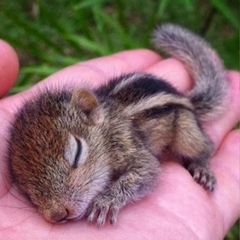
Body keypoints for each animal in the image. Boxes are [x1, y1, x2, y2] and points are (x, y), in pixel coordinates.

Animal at [8, 23, 228, 227]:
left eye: (77, 153)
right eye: (24, 187)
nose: (58, 214)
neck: (106, 128)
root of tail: (185, 98)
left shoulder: (127, 144)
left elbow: (147, 171)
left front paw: (106, 201)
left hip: (186, 130)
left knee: (204, 146)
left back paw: (202, 167)